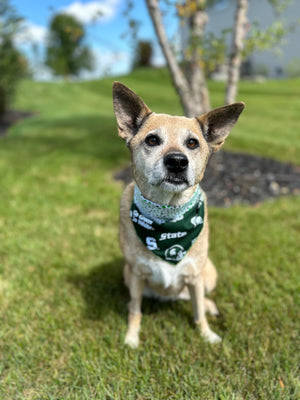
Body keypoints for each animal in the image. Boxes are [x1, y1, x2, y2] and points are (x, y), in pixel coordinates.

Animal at [112, 82, 244, 346]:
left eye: (192, 143)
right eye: (152, 140)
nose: (177, 161)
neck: (168, 216)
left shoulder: (195, 277)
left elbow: (198, 311)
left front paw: (206, 335)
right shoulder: (136, 275)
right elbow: (135, 310)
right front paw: (131, 337)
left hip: (209, 273)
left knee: (201, 299)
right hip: (126, 274)